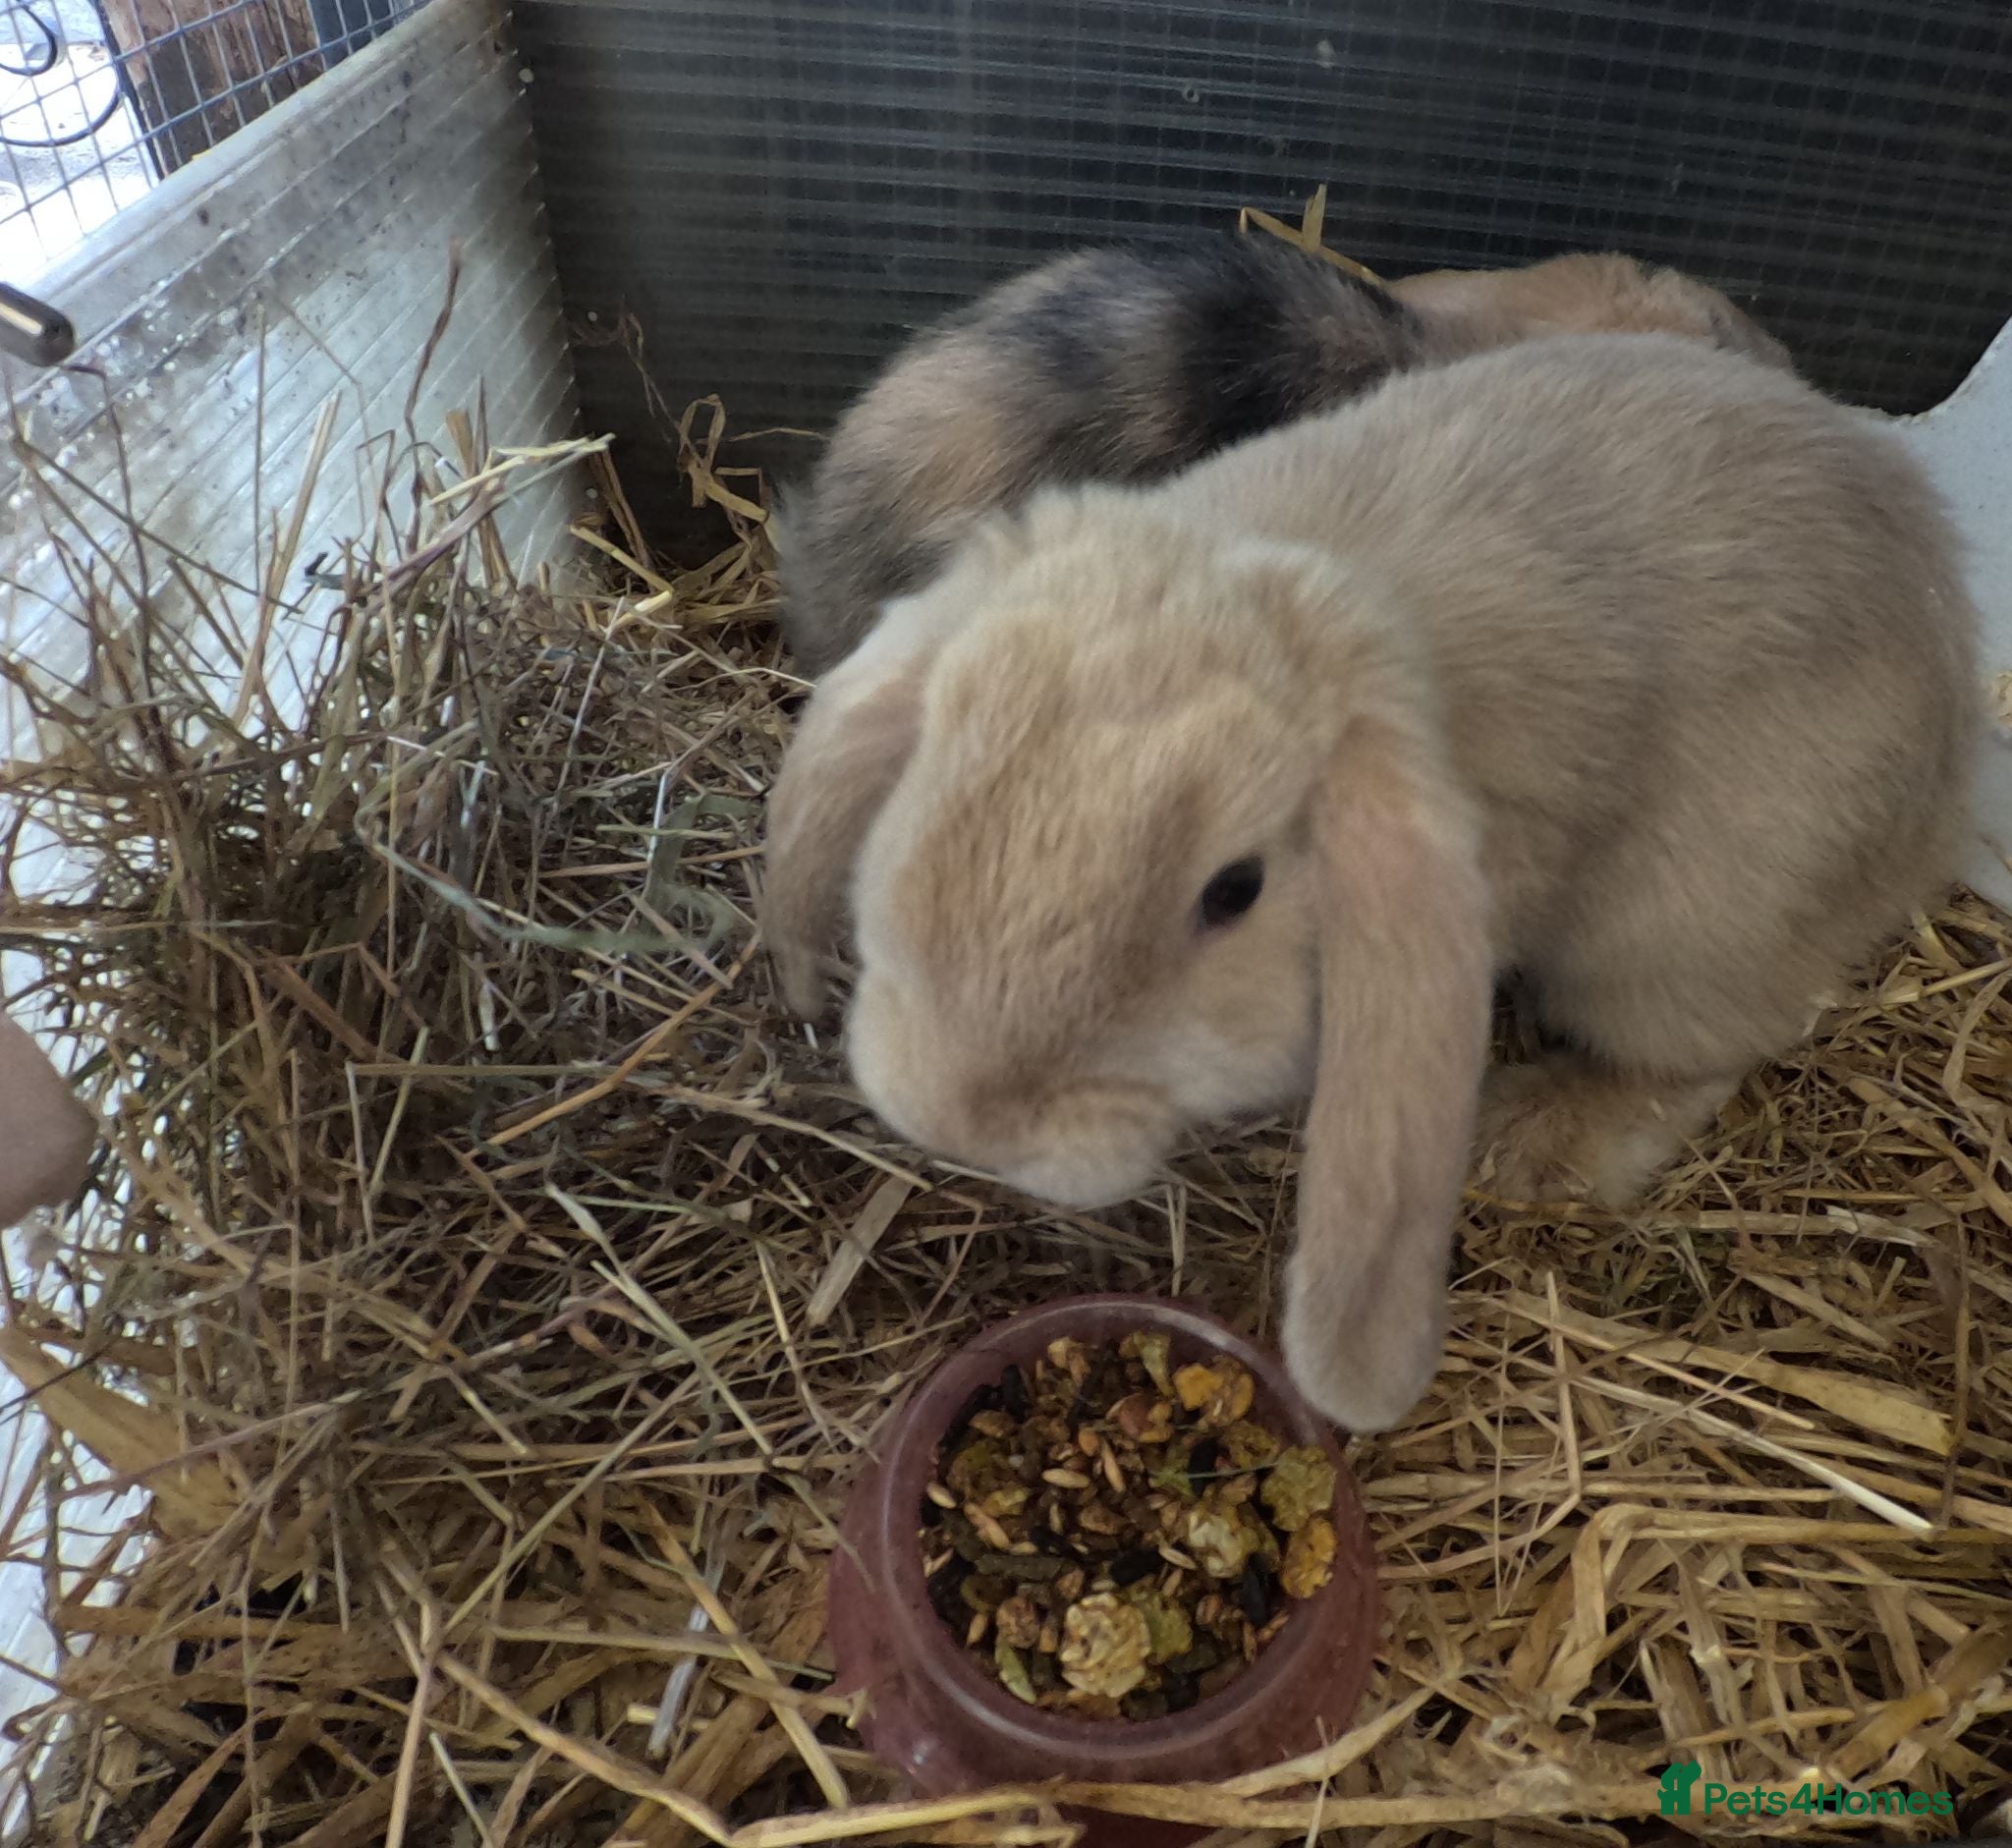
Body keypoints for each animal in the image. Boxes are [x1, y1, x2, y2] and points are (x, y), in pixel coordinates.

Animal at [758, 331, 1979, 1435]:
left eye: (1233, 890)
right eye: (935, 761)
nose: (956, 1116)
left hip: (1673, 942)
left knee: (1698, 1055)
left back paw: (1529, 1137)